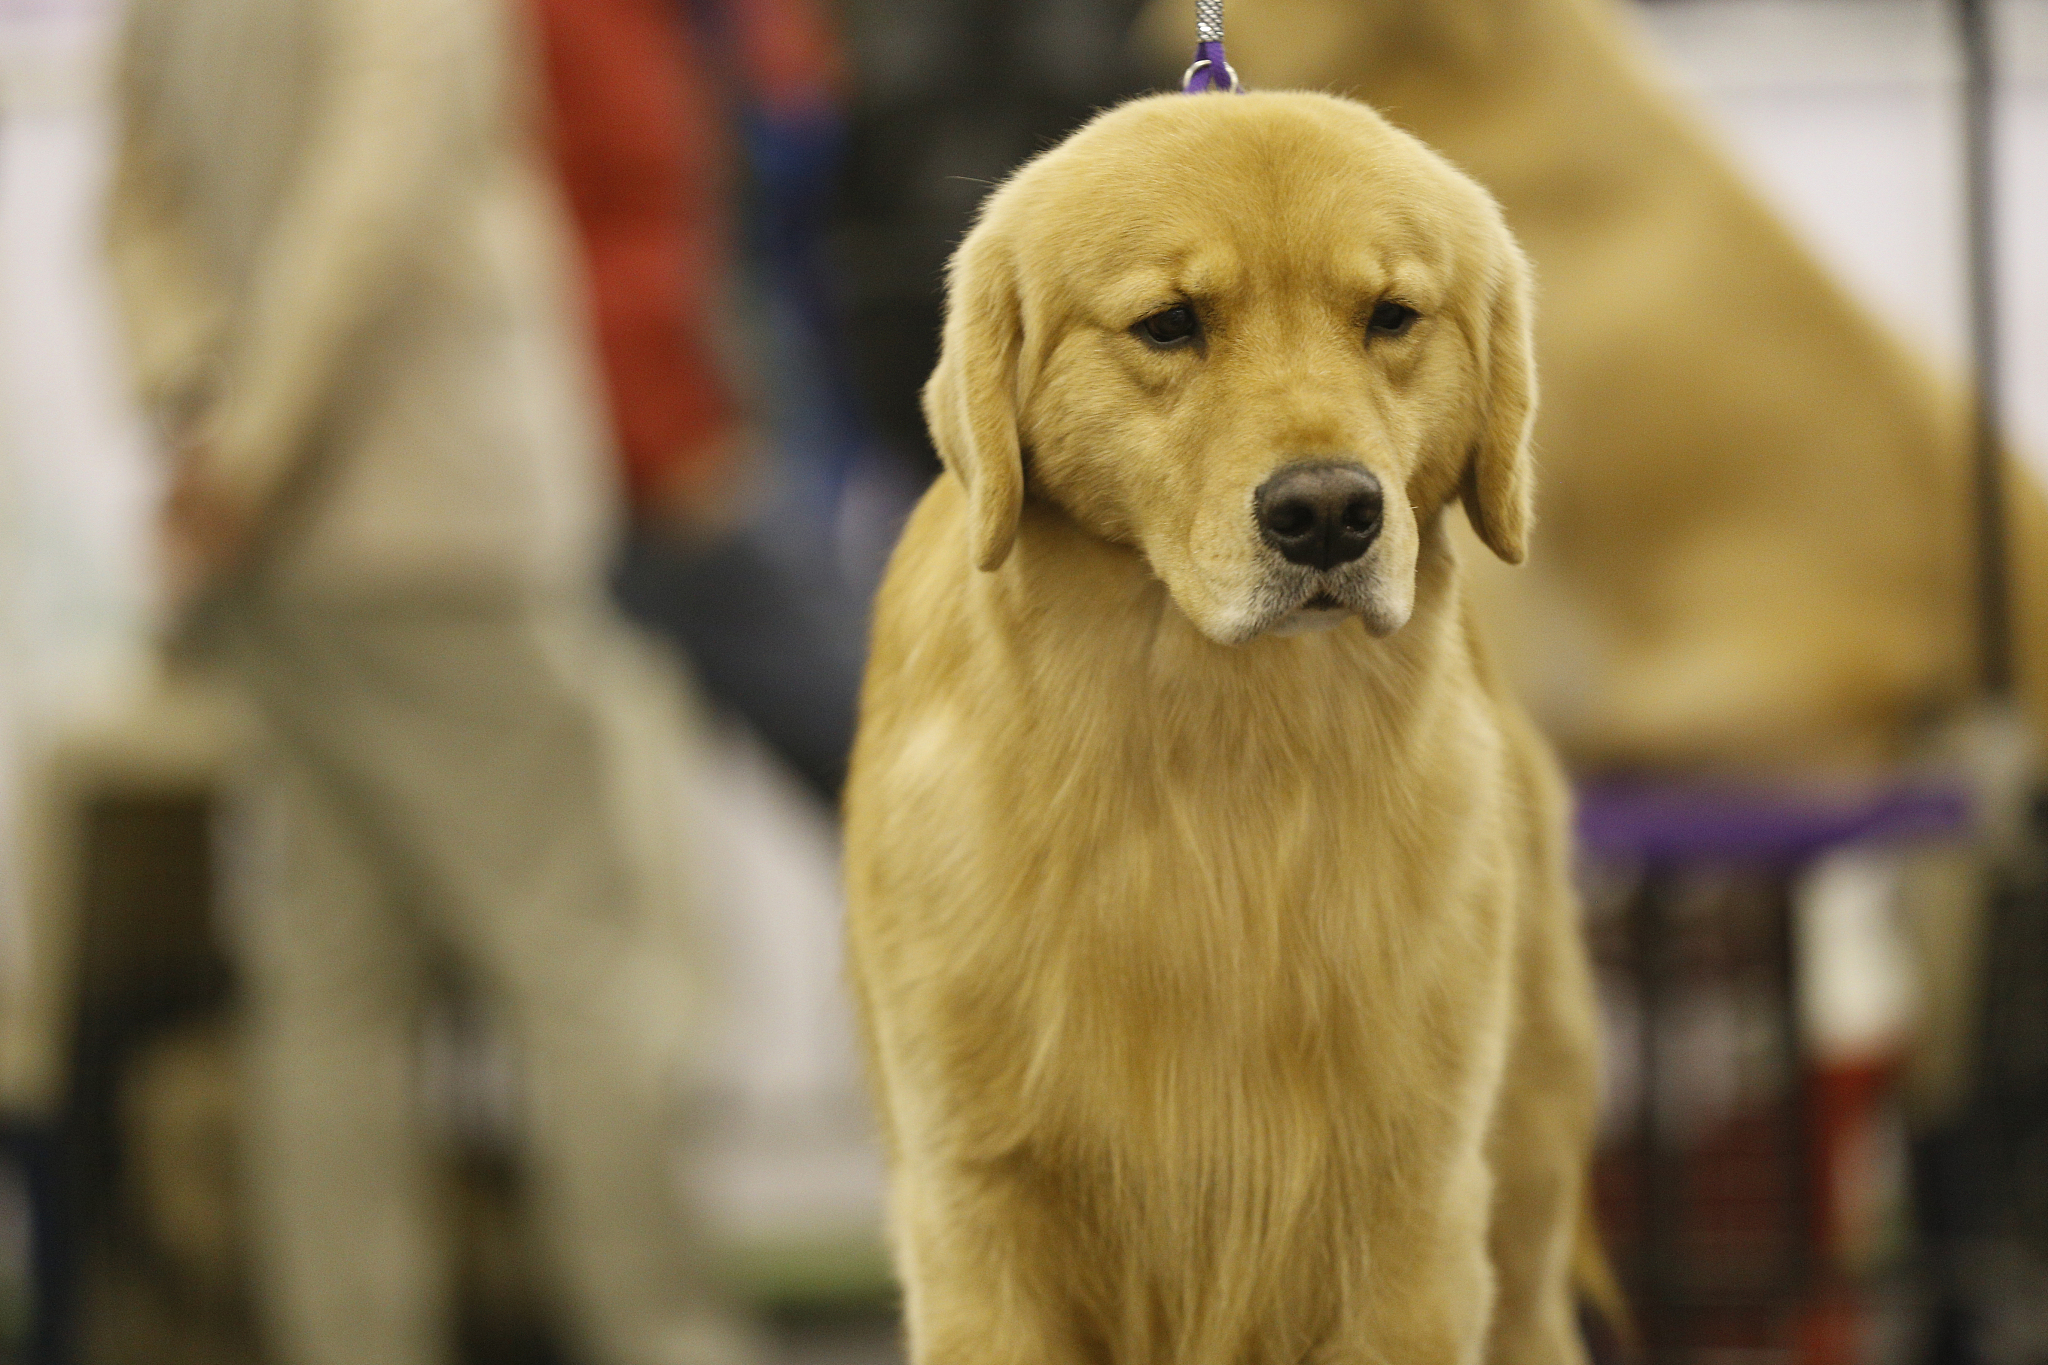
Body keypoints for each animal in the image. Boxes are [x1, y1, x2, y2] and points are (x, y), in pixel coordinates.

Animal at [839, 93, 1605, 1365]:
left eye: (1389, 316)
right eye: (1168, 325)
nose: (1327, 513)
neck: (1215, 760)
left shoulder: (1406, 1215)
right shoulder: (978, 1207)